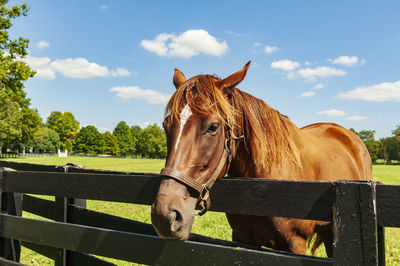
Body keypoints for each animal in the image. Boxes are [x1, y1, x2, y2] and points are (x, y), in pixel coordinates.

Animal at [150, 61, 372, 256]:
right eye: (165, 126)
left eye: (213, 127)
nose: (165, 215)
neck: (264, 187)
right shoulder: (242, 239)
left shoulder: (295, 244)